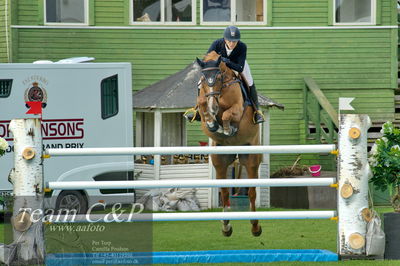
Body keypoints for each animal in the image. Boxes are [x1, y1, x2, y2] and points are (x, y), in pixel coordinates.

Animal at [196, 51, 264, 237]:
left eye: (219, 76)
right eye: (203, 78)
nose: (213, 107)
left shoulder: (238, 109)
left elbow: (227, 114)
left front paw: (227, 128)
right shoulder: (203, 101)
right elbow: (202, 104)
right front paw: (212, 122)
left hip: (251, 157)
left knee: (251, 192)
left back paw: (255, 226)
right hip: (220, 159)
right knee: (225, 191)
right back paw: (226, 225)